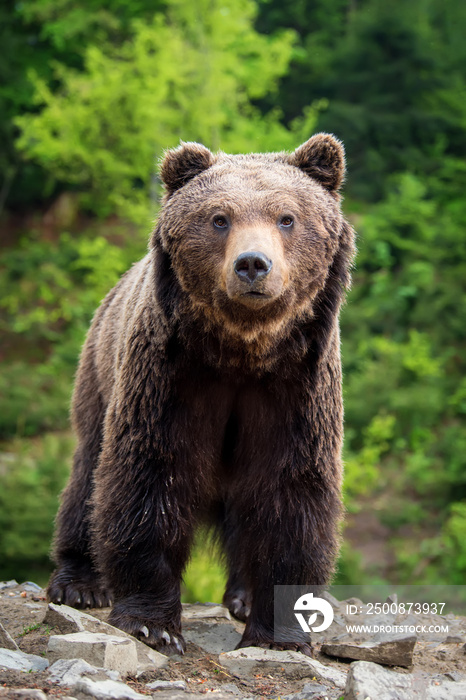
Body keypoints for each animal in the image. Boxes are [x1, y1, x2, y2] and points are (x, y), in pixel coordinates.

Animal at [47, 133, 354, 656]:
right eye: (219, 218)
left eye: (286, 217)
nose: (253, 265)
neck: (242, 351)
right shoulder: (172, 375)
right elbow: (151, 474)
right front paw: (152, 623)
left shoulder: (297, 386)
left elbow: (290, 491)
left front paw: (280, 634)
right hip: (99, 375)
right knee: (88, 475)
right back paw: (79, 582)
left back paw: (244, 597)